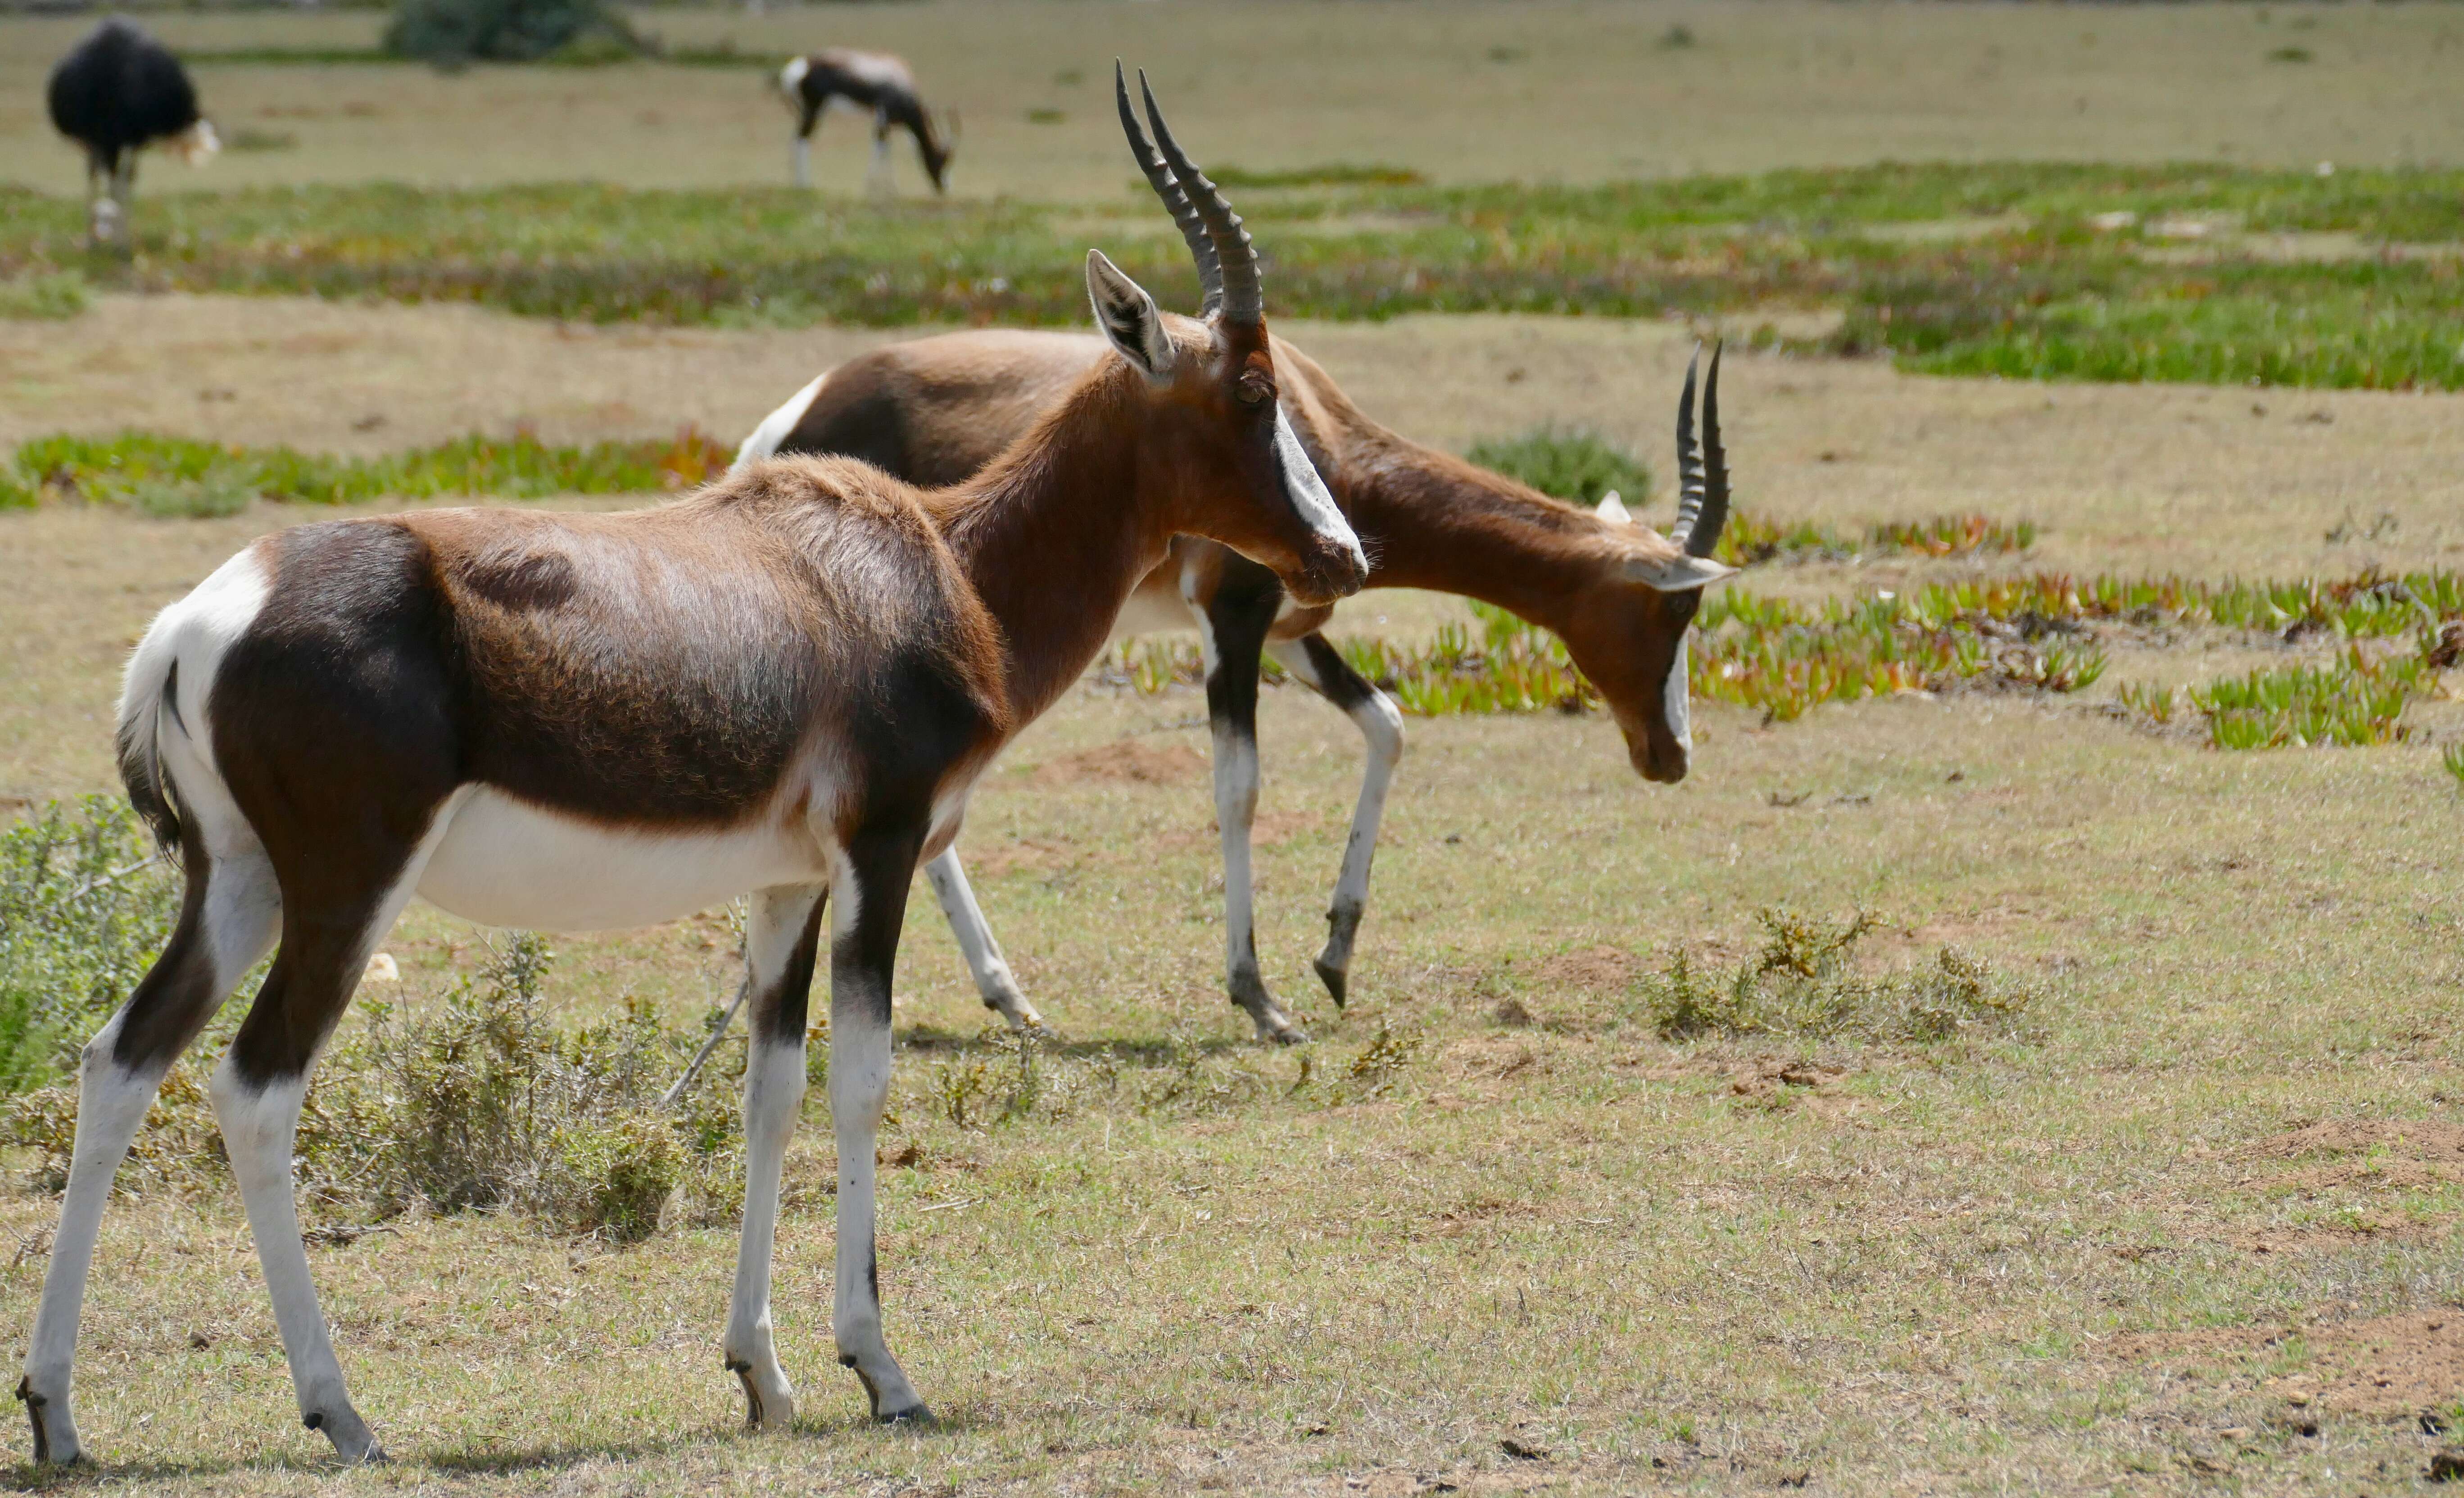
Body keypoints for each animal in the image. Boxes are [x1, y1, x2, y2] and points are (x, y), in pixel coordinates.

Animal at [14, 70, 1370, 1458]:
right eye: (1250, 392)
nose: (1342, 551)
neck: (936, 565)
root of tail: (196, 622)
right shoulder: (882, 850)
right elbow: (862, 1078)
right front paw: (883, 1368)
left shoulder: (788, 883)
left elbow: (774, 1088)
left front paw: (762, 1373)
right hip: (345, 891)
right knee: (254, 1089)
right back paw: (343, 1412)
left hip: (235, 884)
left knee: (120, 1060)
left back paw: (59, 1413)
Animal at [739, 117, 1744, 1035]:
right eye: (1675, 611)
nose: (1672, 756)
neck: (1322, 427)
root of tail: (790, 421)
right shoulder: (1233, 617)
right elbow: (1239, 788)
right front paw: (1258, 997)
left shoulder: (1295, 628)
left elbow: (1388, 726)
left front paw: (1334, 956)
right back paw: (1006, 992)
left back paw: (1010, 996)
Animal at [774, 49, 956, 195]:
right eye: (941, 160)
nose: (945, 188)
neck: (899, 79)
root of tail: (801, 66)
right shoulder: (882, 121)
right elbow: (879, 150)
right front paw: (873, 188)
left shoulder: (886, 124)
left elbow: (886, 151)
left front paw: (891, 190)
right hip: (815, 111)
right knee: (802, 139)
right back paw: (804, 184)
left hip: (804, 112)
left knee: (795, 138)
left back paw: (793, 181)